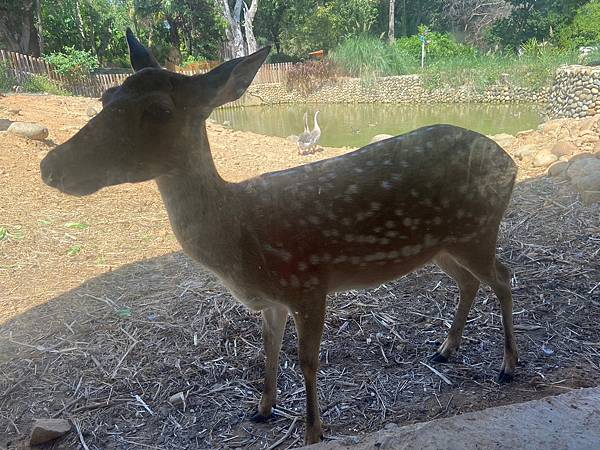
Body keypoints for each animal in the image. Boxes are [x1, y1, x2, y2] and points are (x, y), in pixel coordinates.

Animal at [41, 29, 520, 444]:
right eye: (105, 97)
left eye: (159, 109)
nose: (51, 165)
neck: (240, 239)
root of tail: (510, 162)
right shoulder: (272, 300)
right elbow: (268, 350)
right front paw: (262, 408)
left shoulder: (309, 283)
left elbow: (307, 361)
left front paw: (313, 432)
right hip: (443, 245)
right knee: (470, 282)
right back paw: (445, 349)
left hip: (478, 229)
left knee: (504, 276)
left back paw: (508, 366)